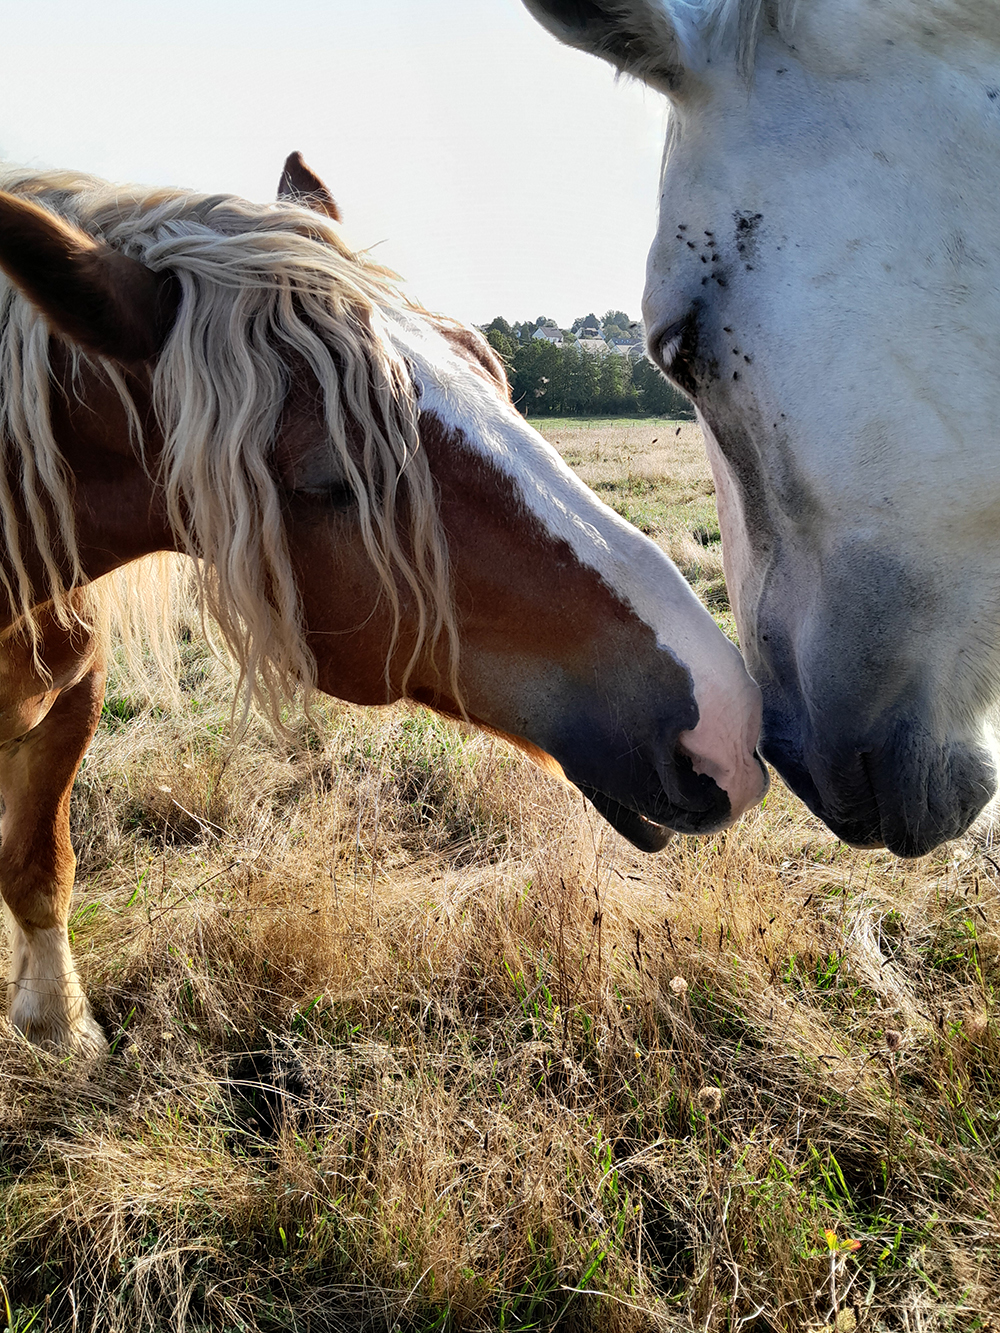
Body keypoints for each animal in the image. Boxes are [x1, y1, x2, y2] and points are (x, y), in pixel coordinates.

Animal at [0, 153, 766, 1055]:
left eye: (494, 373)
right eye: (329, 478)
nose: (726, 719)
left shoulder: (72, 703)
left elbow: (40, 866)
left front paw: (57, 1023)